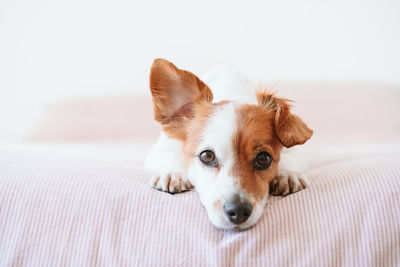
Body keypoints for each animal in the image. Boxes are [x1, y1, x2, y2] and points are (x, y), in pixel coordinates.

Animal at [144, 58, 312, 230]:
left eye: (263, 159)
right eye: (207, 156)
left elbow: (289, 160)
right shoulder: (162, 148)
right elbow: (168, 157)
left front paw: (287, 174)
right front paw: (173, 174)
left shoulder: (295, 152)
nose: (238, 211)